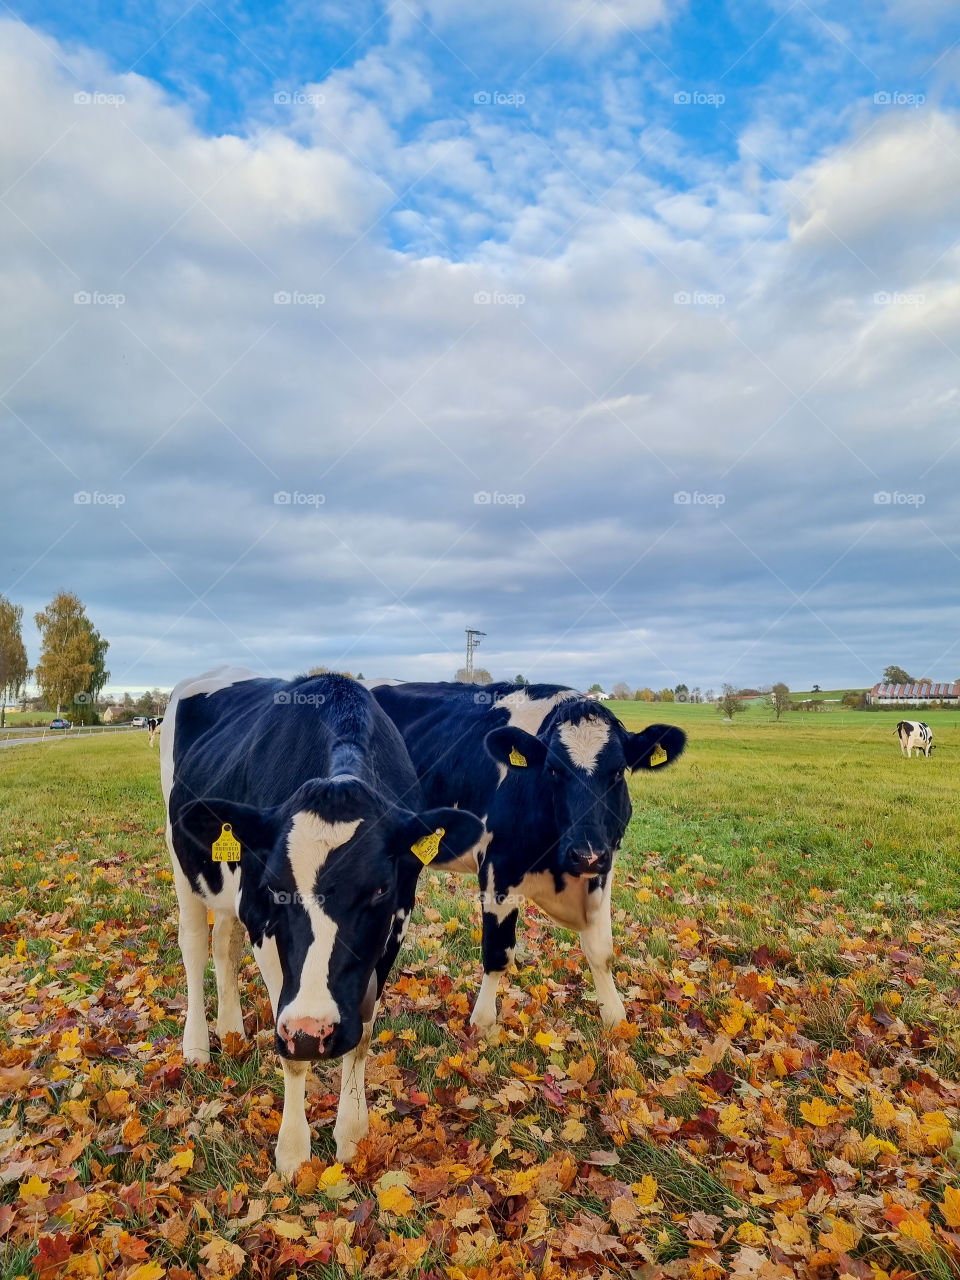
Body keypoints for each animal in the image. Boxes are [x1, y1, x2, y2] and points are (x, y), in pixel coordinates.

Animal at [160, 666, 483, 1174]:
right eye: (275, 886)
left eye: (380, 889)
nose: (316, 1034)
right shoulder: (262, 921)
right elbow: (290, 1047)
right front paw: (293, 1153)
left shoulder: (393, 927)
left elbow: (364, 1033)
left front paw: (352, 1134)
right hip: (182, 864)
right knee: (194, 946)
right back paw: (197, 1046)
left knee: (223, 944)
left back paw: (231, 1030)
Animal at [368, 681, 685, 1033]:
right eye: (553, 770)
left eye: (617, 772)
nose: (585, 854)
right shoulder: (498, 871)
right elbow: (498, 953)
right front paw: (483, 1024)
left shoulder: (604, 868)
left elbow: (601, 951)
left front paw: (615, 1018)